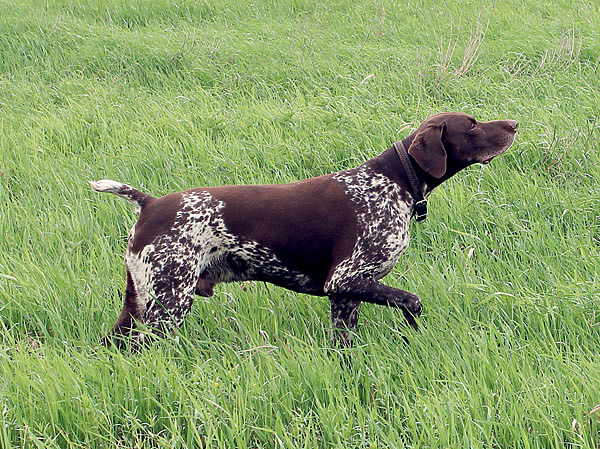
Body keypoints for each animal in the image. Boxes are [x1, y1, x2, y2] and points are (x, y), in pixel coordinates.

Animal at [89, 111, 516, 346]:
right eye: (472, 125)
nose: (514, 123)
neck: (394, 182)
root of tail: (150, 203)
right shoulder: (345, 280)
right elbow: (412, 301)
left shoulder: (345, 297)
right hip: (168, 304)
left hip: (138, 305)